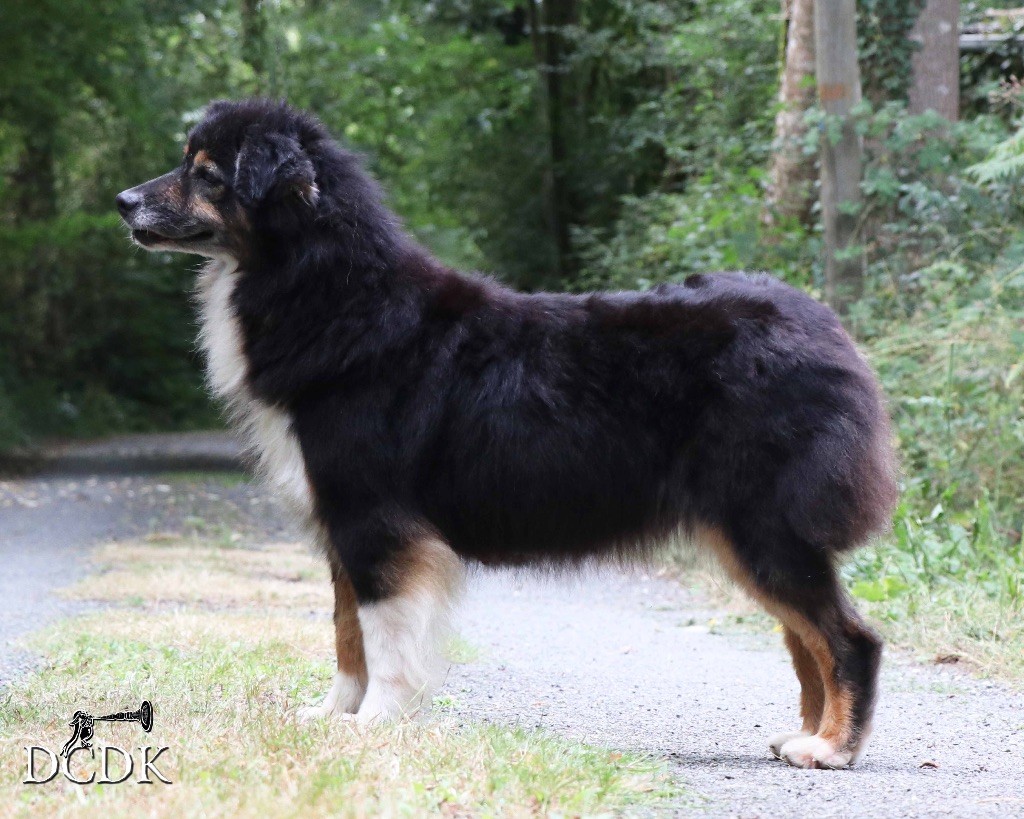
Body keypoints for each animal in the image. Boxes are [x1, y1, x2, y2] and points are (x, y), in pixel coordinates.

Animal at [117, 99, 897, 769]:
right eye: (188, 162)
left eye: (206, 173)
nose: (123, 202)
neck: (328, 288)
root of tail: (824, 325)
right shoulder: (340, 522)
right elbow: (346, 631)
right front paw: (333, 714)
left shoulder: (374, 518)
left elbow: (383, 632)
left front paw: (376, 722)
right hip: (747, 532)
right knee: (804, 637)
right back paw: (804, 734)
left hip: (763, 522)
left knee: (847, 637)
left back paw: (831, 748)